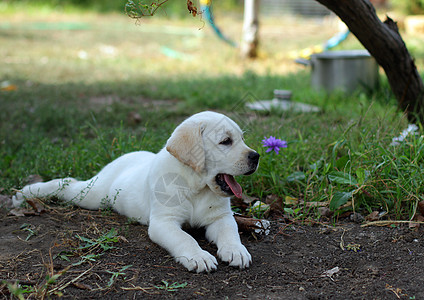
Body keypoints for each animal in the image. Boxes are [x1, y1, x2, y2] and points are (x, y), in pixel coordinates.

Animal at [12, 111, 258, 274]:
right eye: (225, 141)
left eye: (242, 138)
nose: (256, 156)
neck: (195, 185)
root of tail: (127, 155)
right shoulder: (163, 222)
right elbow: (185, 238)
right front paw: (198, 256)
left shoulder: (220, 217)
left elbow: (230, 232)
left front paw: (236, 251)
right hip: (92, 195)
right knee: (68, 183)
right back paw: (26, 192)